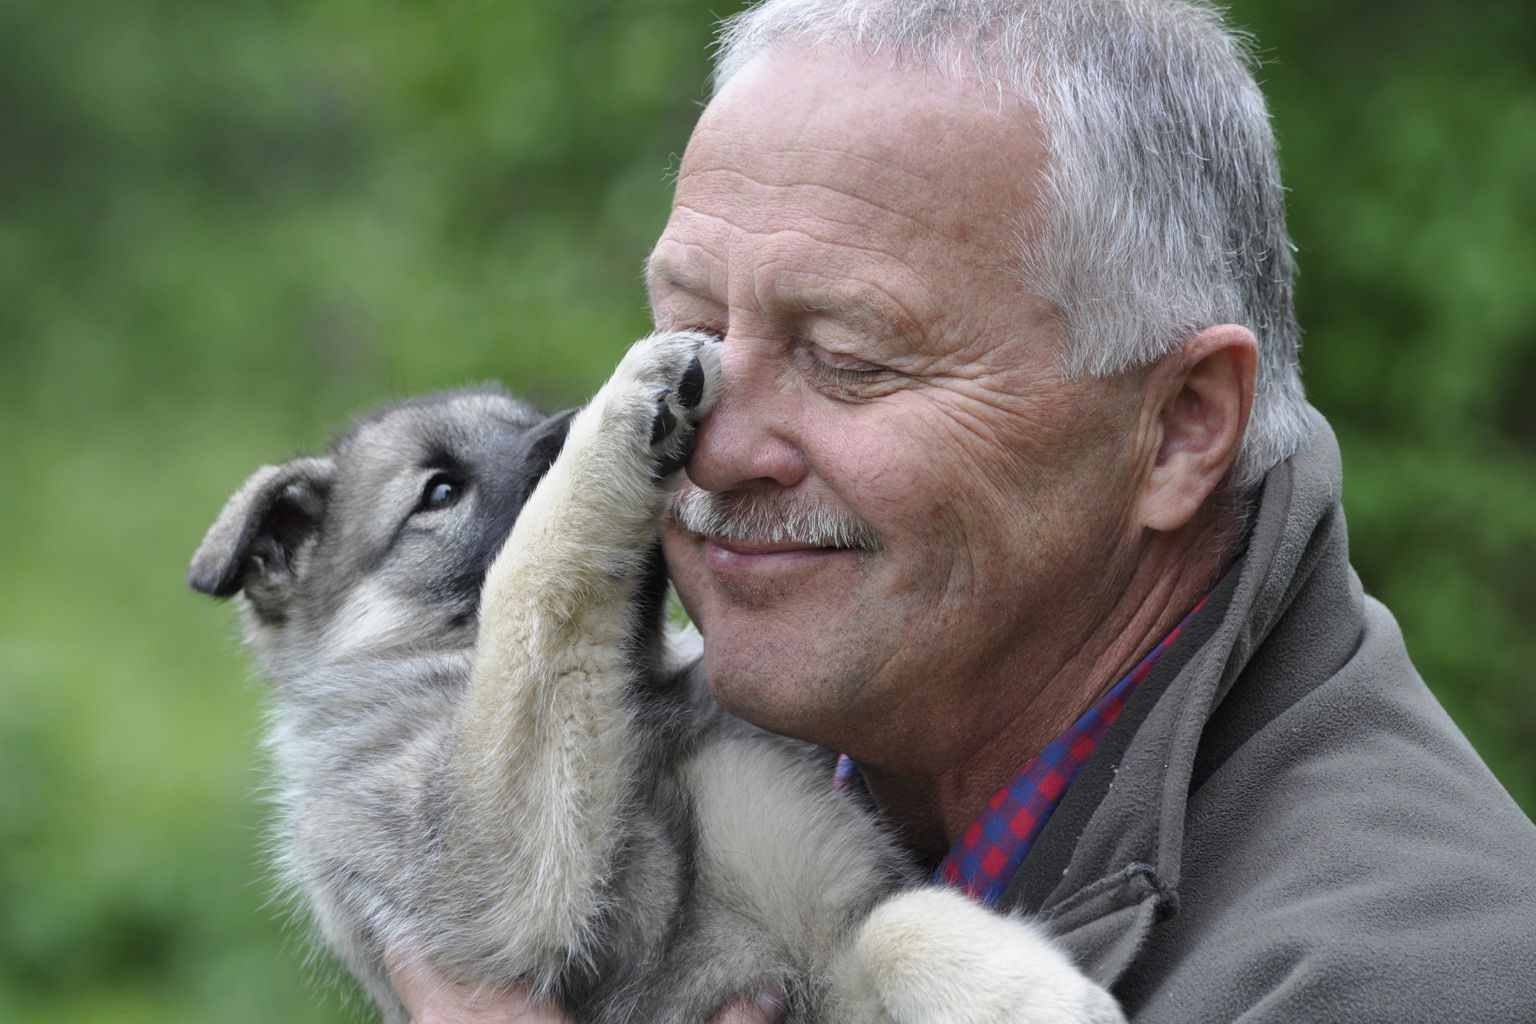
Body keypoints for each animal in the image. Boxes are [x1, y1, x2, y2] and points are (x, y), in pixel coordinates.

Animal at [195, 333, 1130, 1019]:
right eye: (439, 492)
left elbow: (894, 922)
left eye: (524, 418)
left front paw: (1026, 991)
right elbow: (528, 586)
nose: (565, 419)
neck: (633, 698)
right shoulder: (487, 878)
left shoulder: (820, 942)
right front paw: (618, 416)